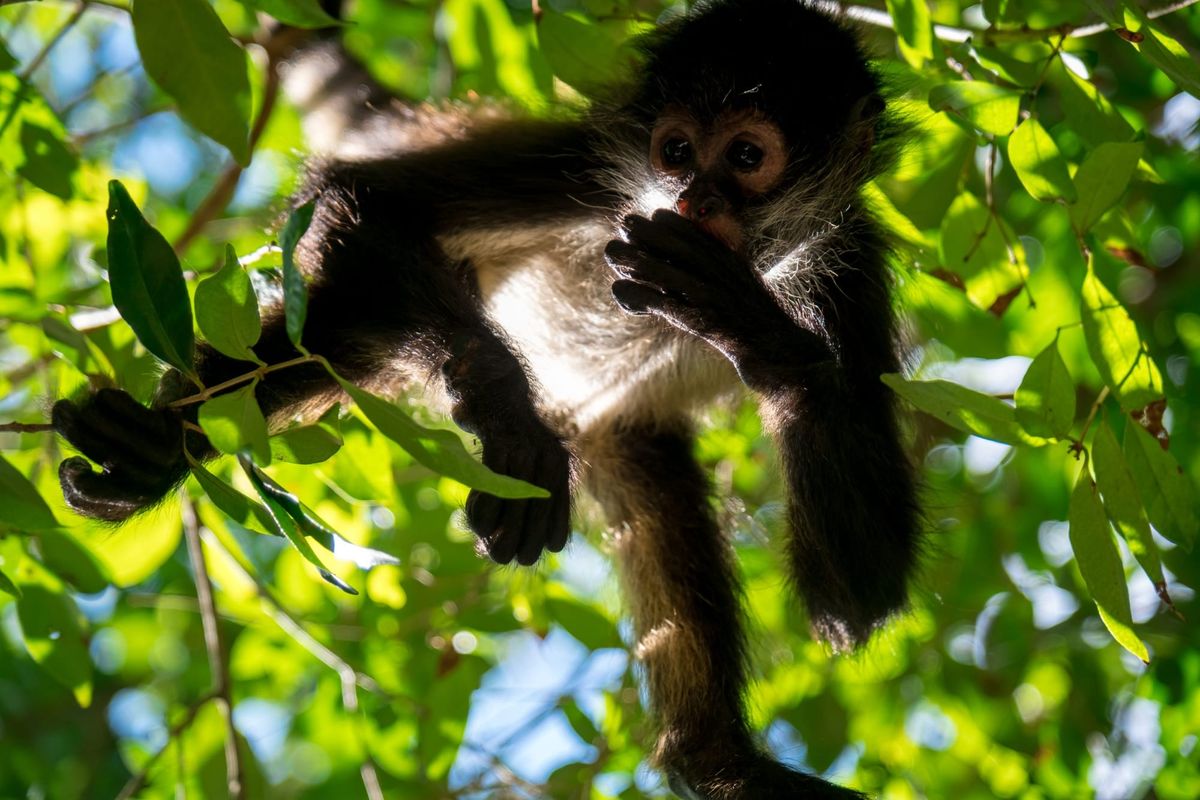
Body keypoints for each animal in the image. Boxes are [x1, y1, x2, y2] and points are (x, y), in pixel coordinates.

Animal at [51, 0, 920, 796]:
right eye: (675, 151)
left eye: (745, 156)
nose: (692, 200)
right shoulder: (586, 169)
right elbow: (360, 193)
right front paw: (509, 423)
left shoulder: (848, 270)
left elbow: (853, 602)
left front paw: (742, 321)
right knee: (345, 320)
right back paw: (151, 452)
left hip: (622, 435)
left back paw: (722, 764)